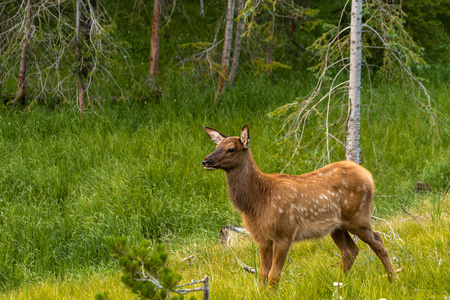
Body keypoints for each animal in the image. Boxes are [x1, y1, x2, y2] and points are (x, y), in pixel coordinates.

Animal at [202, 124, 396, 286]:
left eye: (231, 149)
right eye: (216, 147)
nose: (205, 161)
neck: (258, 202)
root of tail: (368, 176)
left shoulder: (284, 233)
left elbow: (274, 275)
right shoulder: (262, 238)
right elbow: (262, 275)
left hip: (358, 216)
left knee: (378, 240)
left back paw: (393, 280)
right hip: (337, 226)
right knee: (350, 251)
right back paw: (338, 284)